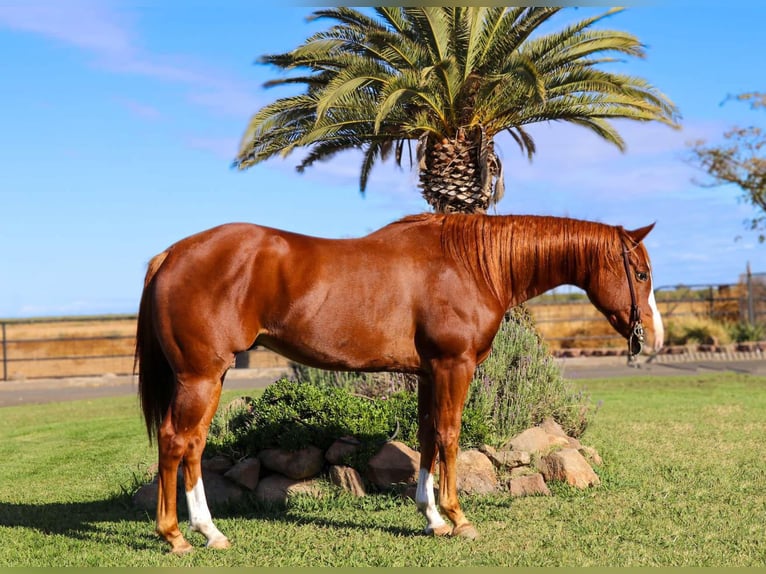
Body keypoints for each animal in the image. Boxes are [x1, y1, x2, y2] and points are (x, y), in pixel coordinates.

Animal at [135, 214, 664, 556]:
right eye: (640, 272)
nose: (653, 338)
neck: (469, 265)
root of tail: (170, 254)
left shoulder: (430, 373)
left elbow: (428, 438)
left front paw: (433, 519)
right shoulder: (454, 366)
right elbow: (450, 436)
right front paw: (459, 518)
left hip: (211, 377)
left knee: (194, 446)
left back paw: (209, 533)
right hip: (201, 377)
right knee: (177, 442)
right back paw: (178, 536)